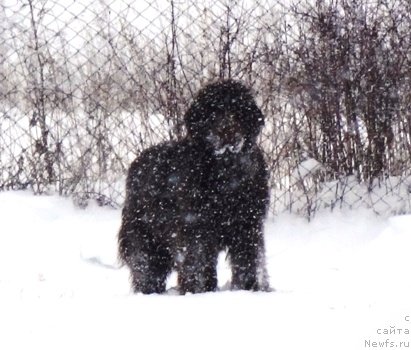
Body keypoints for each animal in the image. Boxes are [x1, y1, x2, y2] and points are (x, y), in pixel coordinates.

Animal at [118, 78, 270, 292]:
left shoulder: (248, 224)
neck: (225, 173)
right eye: (213, 112)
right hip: (143, 236)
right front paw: (198, 291)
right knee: (145, 266)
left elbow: (249, 259)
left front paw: (250, 288)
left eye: (237, 110)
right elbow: (197, 261)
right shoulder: (195, 226)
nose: (227, 131)